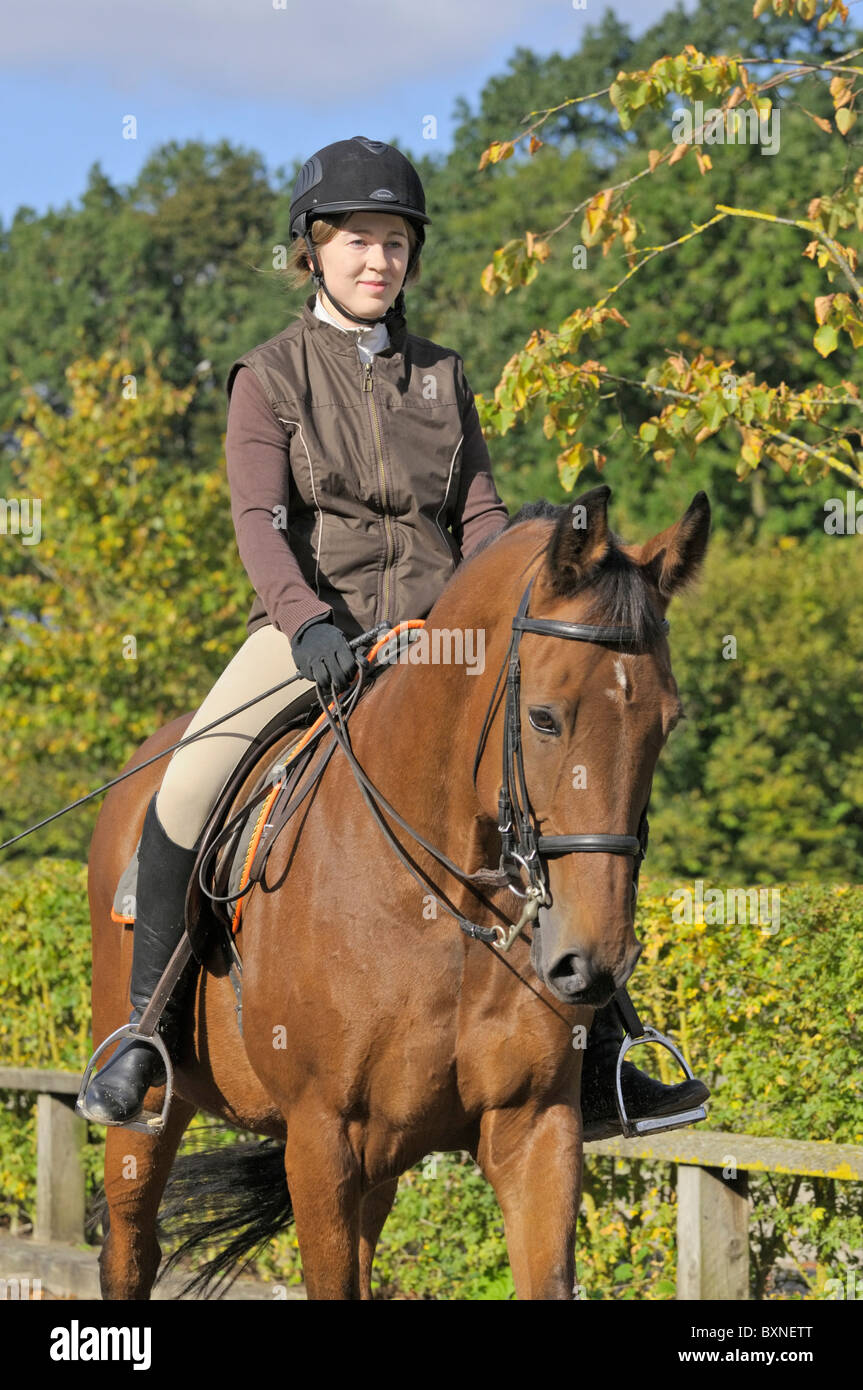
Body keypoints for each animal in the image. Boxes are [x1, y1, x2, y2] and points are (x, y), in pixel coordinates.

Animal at [85, 483, 705, 1295]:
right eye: (543, 718)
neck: (438, 906)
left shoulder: (536, 1129)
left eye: (666, 724)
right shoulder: (321, 1142)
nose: (591, 963)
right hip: (149, 1116)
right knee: (131, 1248)